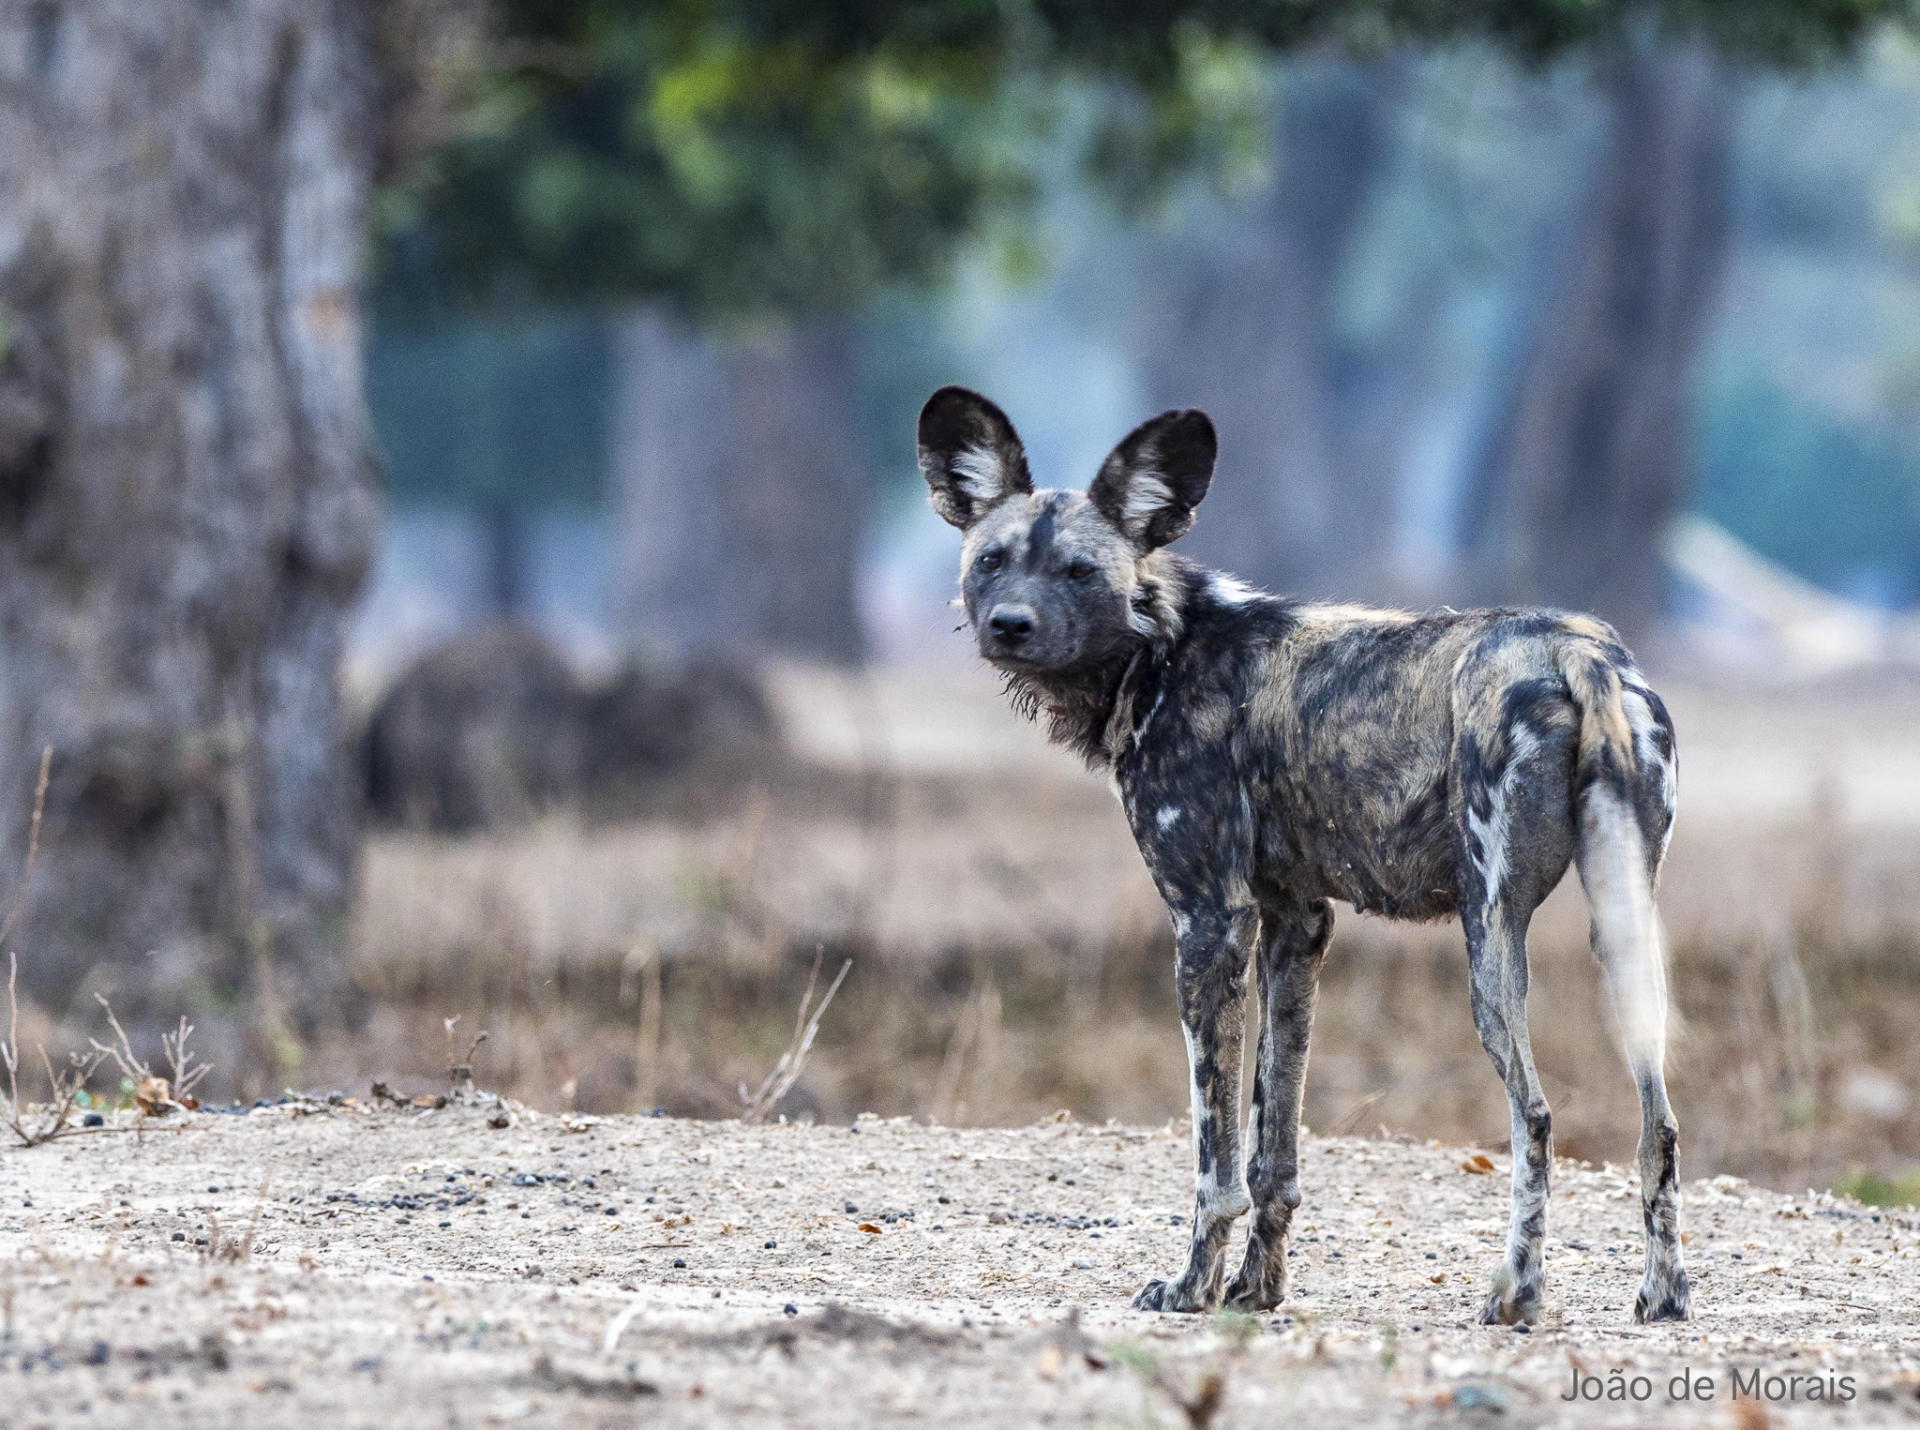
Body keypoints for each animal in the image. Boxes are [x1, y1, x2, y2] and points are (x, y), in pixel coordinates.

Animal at [921, 385, 1689, 1320]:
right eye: (992, 561)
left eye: (1079, 573)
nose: (1010, 625)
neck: (1163, 650)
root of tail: (1577, 647)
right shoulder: (1297, 923)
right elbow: (1272, 1148)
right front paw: (1256, 1288)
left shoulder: (1210, 925)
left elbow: (1215, 1160)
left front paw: (1193, 1287)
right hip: (1625, 931)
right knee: (1659, 1121)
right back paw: (1663, 1294)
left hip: (1489, 936)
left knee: (1536, 1114)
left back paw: (1515, 1294)